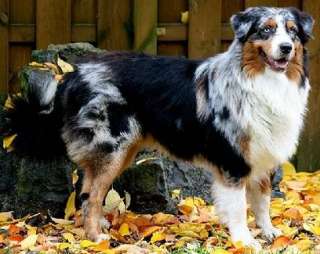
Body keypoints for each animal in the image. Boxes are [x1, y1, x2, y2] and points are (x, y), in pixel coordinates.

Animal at [1, 6, 312, 249]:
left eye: (292, 33)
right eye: (266, 30)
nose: (285, 48)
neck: (261, 82)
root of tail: (72, 75)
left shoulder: (263, 157)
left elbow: (262, 202)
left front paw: (270, 233)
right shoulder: (232, 160)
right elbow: (237, 207)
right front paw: (244, 241)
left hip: (122, 150)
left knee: (89, 188)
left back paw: (99, 225)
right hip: (113, 147)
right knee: (92, 194)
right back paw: (96, 238)